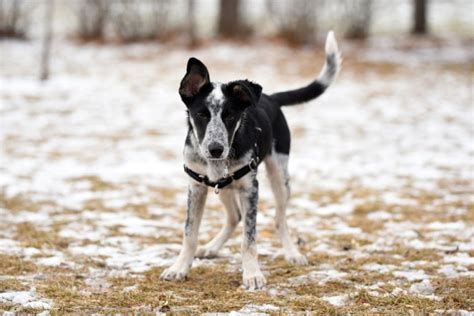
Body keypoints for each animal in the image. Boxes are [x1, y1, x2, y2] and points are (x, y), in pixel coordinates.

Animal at [161, 30, 342, 290]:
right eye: (201, 114)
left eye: (230, 116)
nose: (215, 150)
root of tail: (271, 98)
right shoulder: (196, 186)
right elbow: (189, 233)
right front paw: (179, 268)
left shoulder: (250, 188)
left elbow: (249, 238)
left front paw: (252, 274)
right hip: (222, 186)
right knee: (234, 216)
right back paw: (212, 247)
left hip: (279, 176)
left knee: (279, 218)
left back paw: (292, 253)